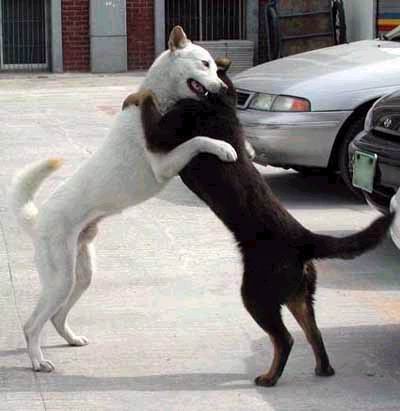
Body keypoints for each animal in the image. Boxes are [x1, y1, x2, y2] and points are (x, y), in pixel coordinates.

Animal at [8, 26, 239, 373]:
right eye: (204, 64)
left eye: (214, 66)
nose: (223, 87)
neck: (160, 97)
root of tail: (37, 220)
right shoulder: (163, 164)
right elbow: (199, 139)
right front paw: (224, 147)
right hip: (61, 278)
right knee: (32, 324)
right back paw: (38, 360)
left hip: (82, 275)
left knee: (57, 317)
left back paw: (71, 339)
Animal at [134, 61, 394, 387]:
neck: (220, 100)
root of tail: (304, 239)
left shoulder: (161, 135)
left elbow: (149, 107)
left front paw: (141, 94)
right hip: (299, 297)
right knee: (314, 334)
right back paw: (322, 369)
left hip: (257, 295)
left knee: (285, 340)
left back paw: (270, 377)